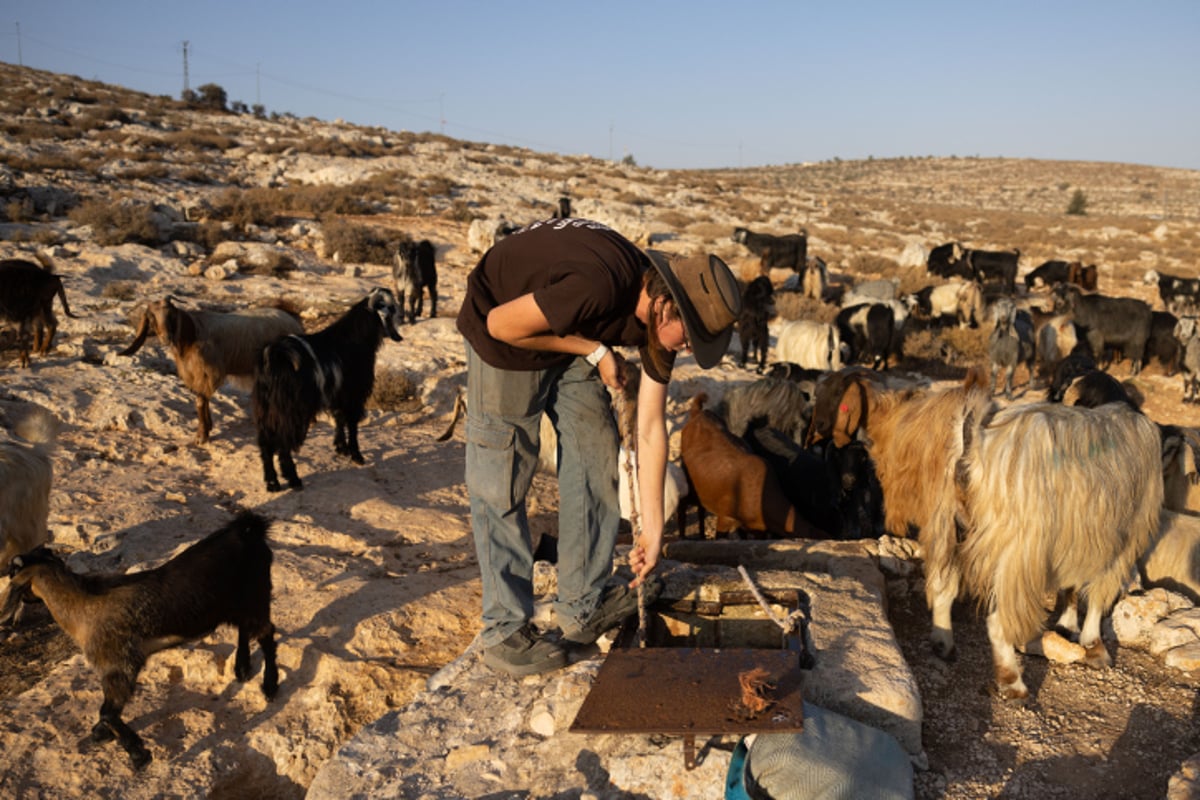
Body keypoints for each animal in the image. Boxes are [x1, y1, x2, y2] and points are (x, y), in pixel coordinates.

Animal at [1, 513, 276, 767]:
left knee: (266, 633)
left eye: (13, 571)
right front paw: (103, 733)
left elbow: (108, 712)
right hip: (238, 604)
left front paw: (137, 753)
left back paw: (270, 686)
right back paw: (242, 669)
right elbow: (108, 709)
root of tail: (248, 529)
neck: (83, 606)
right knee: (245, 628)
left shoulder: (119, 664)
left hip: (257, 594)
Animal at [252, 284, 403, 491]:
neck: (355, 340)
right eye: (392, 308)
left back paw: (272, 482)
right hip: (290, 410)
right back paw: (293, 479)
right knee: (283, 444)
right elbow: (352, 425)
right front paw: (356, 455)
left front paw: (341, 448)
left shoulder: (338, 394)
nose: (403, 316)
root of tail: (274, 356)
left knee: (265, 444)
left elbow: (339, 419)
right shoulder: (354, 395)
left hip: (266, 409)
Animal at [806, 369, 1161, 700]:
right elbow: (1097, 594)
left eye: (836, 396)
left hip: (950, 524)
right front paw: (1093, 645)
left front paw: (1069, 625)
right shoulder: (1120, 538)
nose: (816, 433)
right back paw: (1012, 682)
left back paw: (943, 643)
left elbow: (1074, 586)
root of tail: (973, 439)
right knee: (998, 621)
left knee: (942, 585)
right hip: (1016, 547)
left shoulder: (1084, 535)